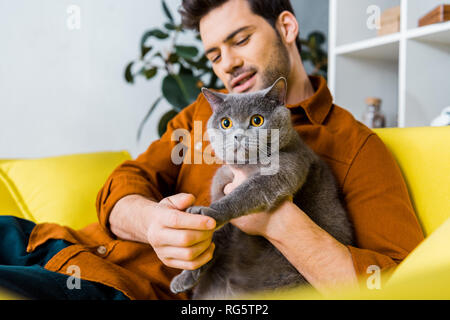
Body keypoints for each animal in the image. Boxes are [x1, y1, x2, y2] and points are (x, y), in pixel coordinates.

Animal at [170, 78, 356, 300]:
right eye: (226, 123)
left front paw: (208, 211)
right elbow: (217, 236)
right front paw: (185, 276)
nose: (238, 136)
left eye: (257, 120)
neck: (247, 166)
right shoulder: (221, 180)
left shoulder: (284, 169)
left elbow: (244, 193)